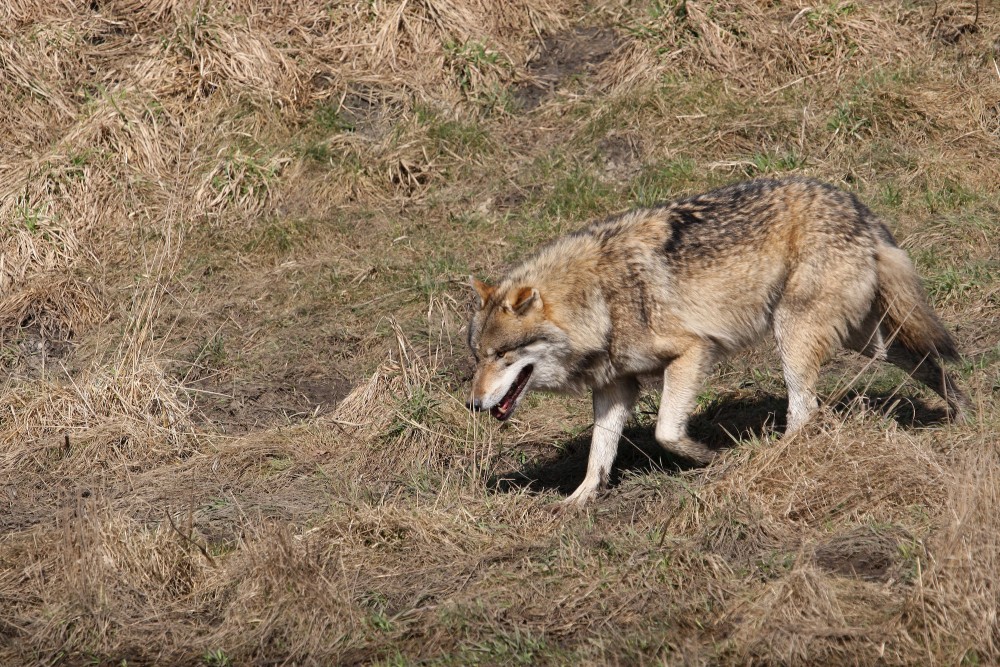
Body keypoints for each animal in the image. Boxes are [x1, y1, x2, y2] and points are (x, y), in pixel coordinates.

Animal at [466, 177, 968, 506]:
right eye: (479, 357)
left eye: (503, 356)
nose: (473, 404)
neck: (599, 298)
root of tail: (859, 208)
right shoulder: (615, 386)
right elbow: (598, 453)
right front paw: (580, 499)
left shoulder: (692, 351)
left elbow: (666, 432)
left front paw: (707, 456)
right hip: (870, 341)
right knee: (929, 362)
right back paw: (963, 412)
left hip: (794, 335)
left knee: (806, 409)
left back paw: (772, 457)